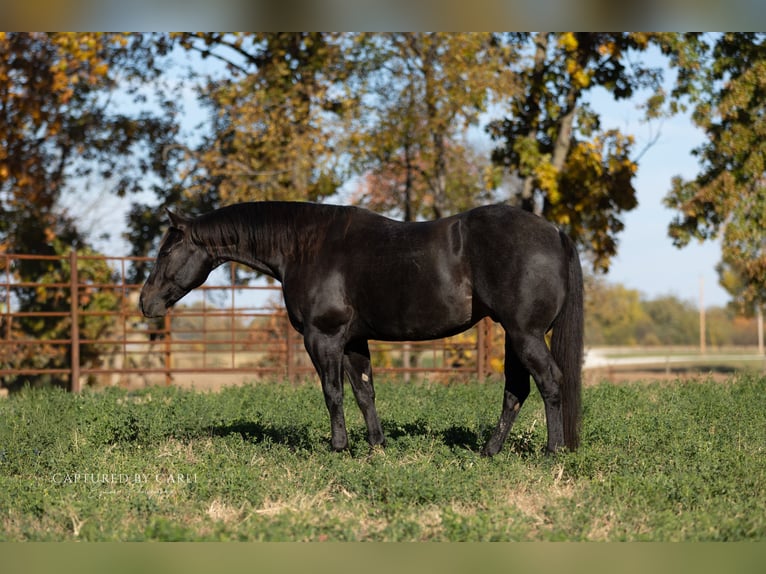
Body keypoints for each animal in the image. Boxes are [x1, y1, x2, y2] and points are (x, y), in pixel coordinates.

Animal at [139, 201, 584, 456]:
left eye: (166, 250)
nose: (146, 303)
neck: (307, 245)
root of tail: (555, 232)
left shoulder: (323, 337)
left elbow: (332, 393)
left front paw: (339, 447)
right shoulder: (354, 340)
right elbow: (364, 392)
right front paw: (376, 446)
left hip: (525, 334)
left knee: (549, 382)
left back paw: (553, 452)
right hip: (514, 335)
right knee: (516, 391)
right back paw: (490, 451)